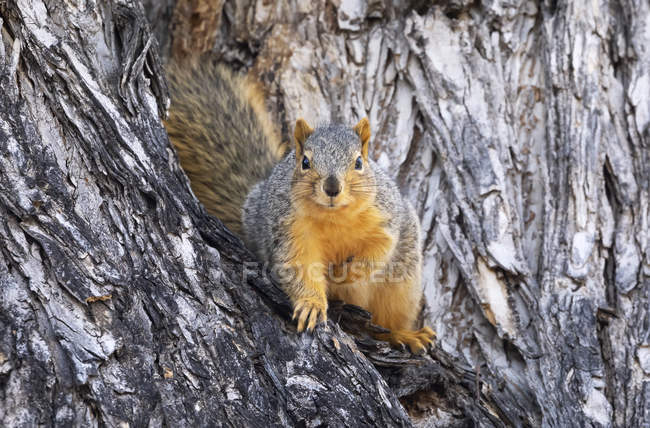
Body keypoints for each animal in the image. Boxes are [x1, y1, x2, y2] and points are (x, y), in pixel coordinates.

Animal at [165, 61, 432, 354]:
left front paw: (346, 274)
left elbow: (379, 250)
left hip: (401, 287)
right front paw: (312, 305)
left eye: (359, 162)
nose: (332, 187)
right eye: (305, 162)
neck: (334, 217)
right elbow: (299, 266)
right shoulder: (289, 229)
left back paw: (404, 335)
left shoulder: (386, 216)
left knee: (389, 319)